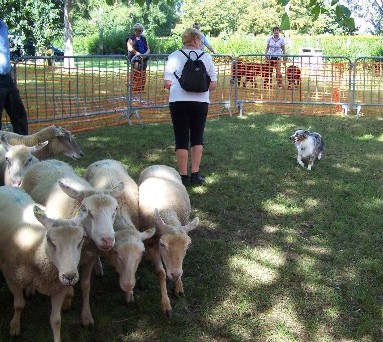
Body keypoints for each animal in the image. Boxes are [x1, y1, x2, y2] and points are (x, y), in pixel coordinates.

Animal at [0, 184, 87, 342]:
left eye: (82, 239)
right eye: (50, 240)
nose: (70, 277)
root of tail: (7, 186)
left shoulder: (59, 287)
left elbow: (56, 320)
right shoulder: (11, 277)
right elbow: (19, 305)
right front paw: (15, 327)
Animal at [20, 159, 124, 328]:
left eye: (115, 209)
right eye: (87, 211)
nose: (108, 240)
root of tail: (47, 161)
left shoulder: (90, 257)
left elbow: (86, 285)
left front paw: (86, 316)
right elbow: (68, 287)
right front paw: (66, 302)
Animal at [138, 164, 200, 316]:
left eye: (188, 246)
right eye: (162, 244)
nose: (175, 273)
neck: (167, 211)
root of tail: (158, 164)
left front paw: (179, 286)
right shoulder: (151, 244)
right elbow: (161, 273)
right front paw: (166, 304)